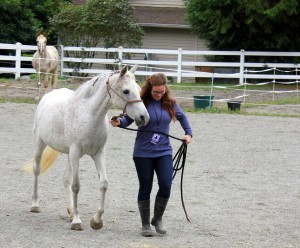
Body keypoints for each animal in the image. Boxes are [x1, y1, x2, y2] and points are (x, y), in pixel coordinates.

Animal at [29, 65, 149, 231]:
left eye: (138, 89)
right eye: (126, 91)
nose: (144, 117)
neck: (89, 115)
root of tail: (48, 96)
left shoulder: (98, 153)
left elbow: (103, 183)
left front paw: (96, 221)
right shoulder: (75, 152)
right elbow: (76, 186)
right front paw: (77, 221)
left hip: (69, 154)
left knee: (65, 178)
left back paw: (70, 211)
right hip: (40, 144)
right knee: (36, 170)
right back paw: (35, 205)